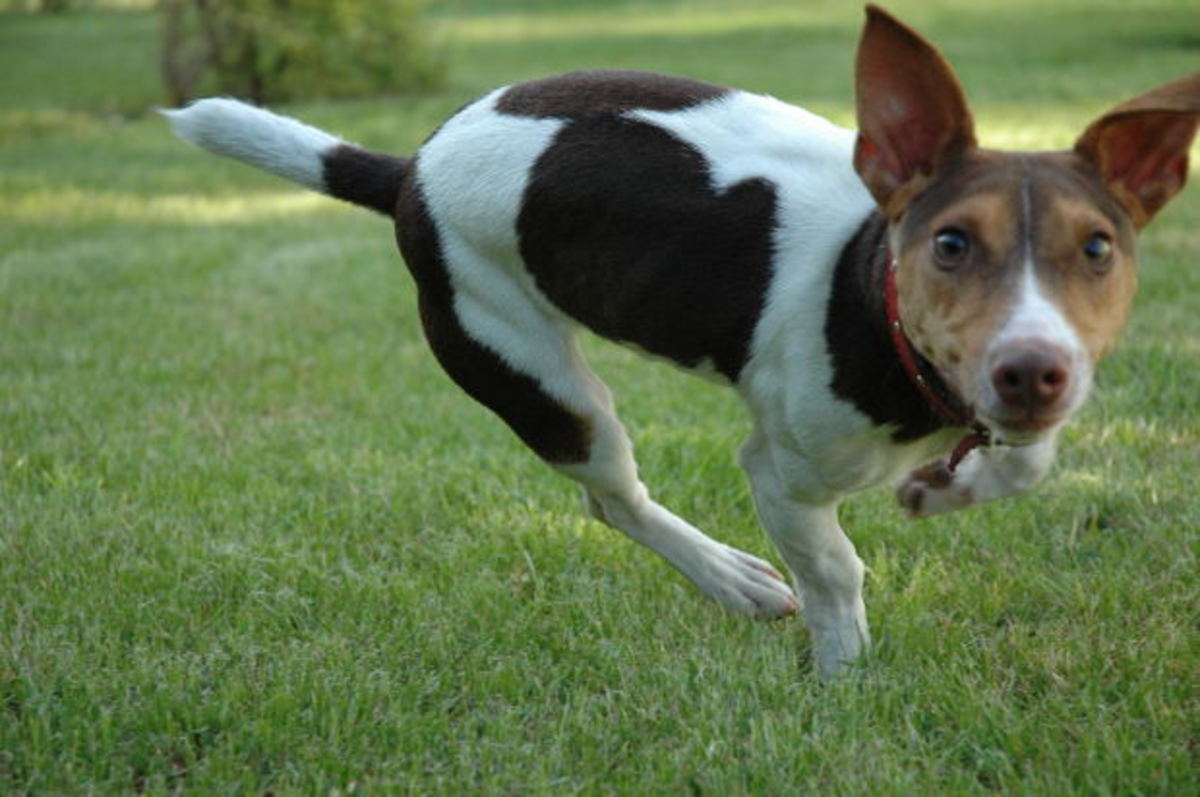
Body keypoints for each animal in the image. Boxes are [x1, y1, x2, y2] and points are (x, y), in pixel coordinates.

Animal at [162, 7, 1200, 676]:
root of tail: (409, 168)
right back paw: (735, 580)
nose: (1032, 372)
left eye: (1097, 250)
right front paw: (844, 672)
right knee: (614, 496)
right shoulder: (781, 471)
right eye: (950, 244)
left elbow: (1021, 462)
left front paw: (953, 486)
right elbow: (833, 568)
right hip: (530, 370)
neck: (871, 292)